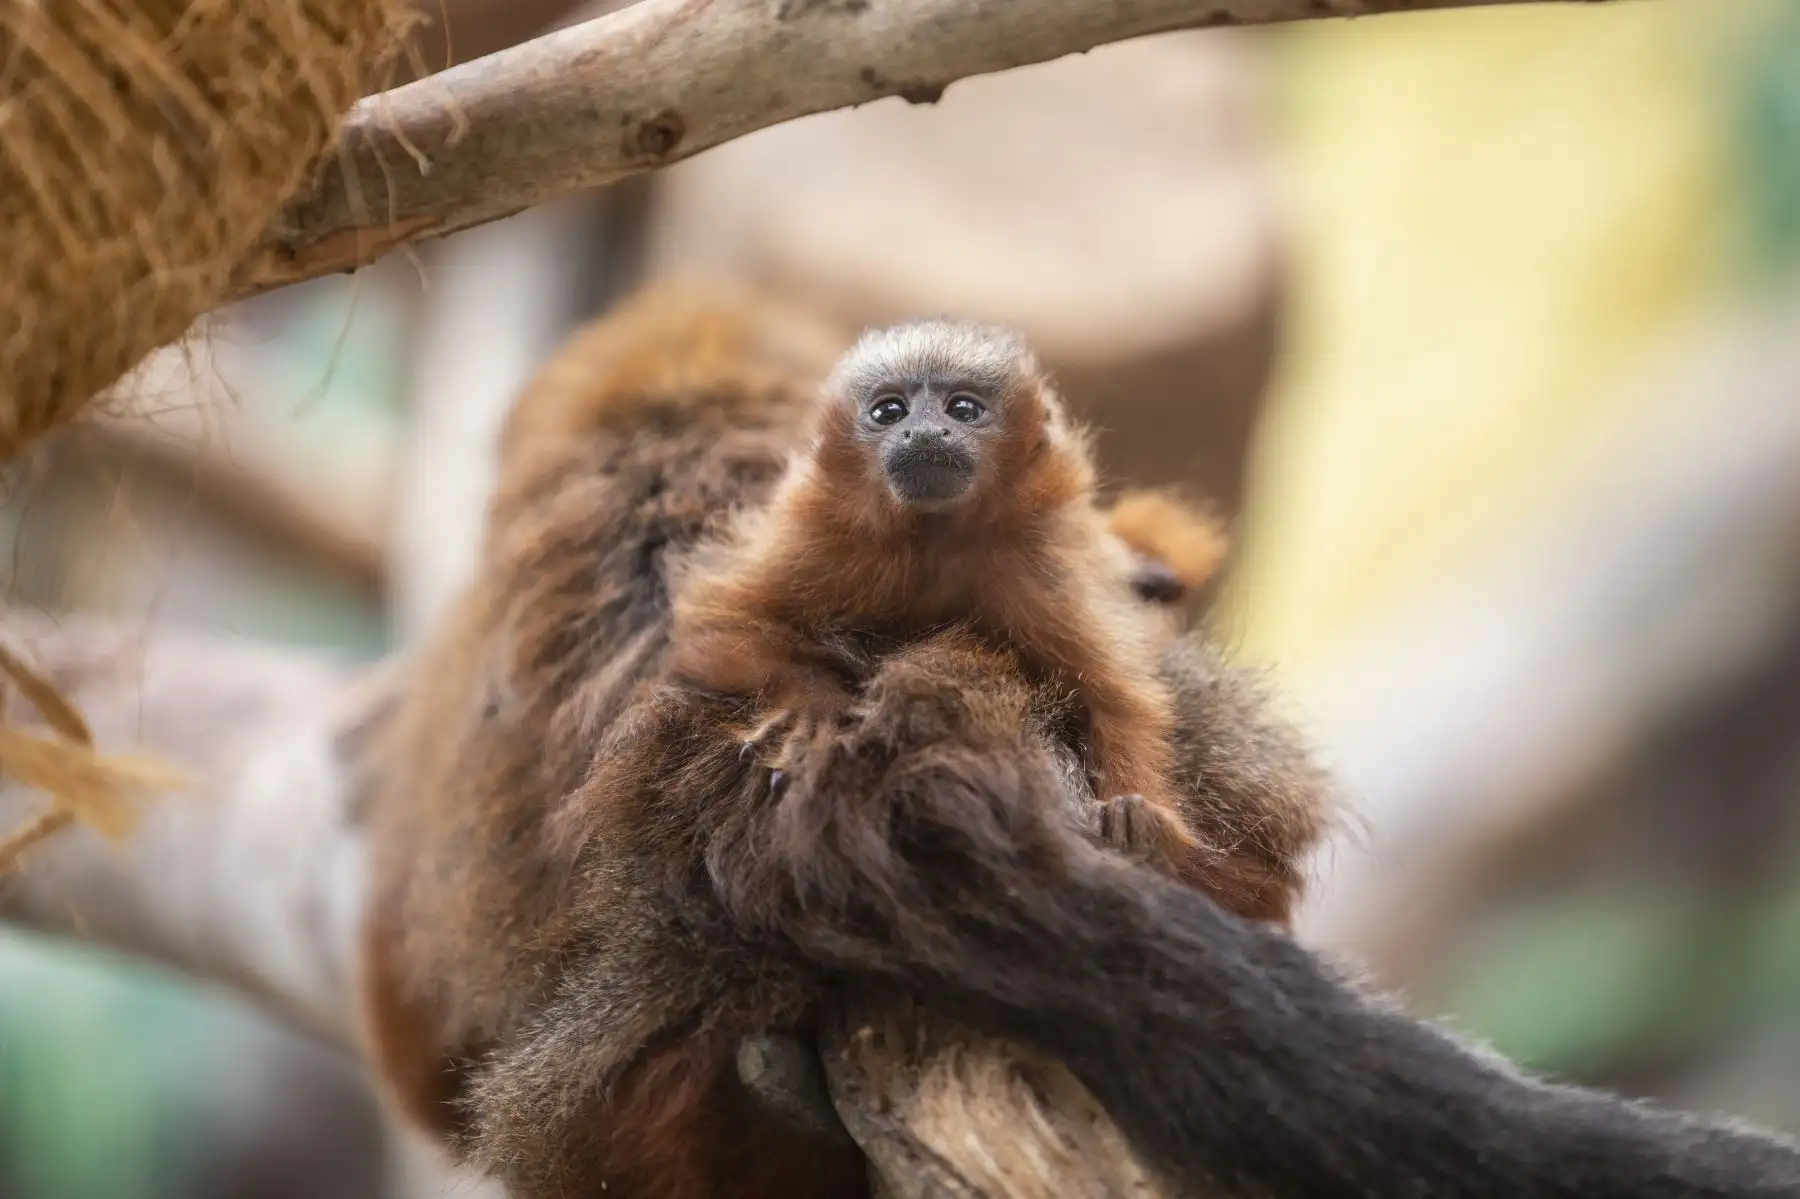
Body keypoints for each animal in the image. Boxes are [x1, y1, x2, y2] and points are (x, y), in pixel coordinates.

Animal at [666, 318, 1214, 894]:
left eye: (962, 409)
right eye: (890, 412)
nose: (925, 433)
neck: (934, 539)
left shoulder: (1039, 564)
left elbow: (1114, 697)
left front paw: (1138, 813)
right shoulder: (818, 537)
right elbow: (714, 625)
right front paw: (813, 707)